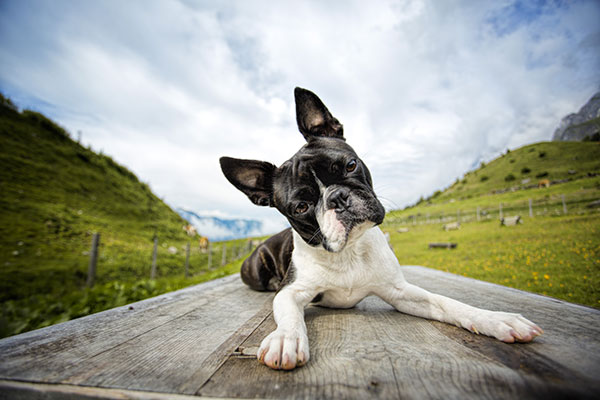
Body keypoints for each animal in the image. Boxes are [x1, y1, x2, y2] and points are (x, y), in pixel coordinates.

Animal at [220, 87, 544, 372]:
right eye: (301, 207)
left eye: (350, 165)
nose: (338, 198)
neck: (349, 251)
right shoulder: (292, 291)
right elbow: (288, 312)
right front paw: (285, 338)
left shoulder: (400, 291)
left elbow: (446, 302)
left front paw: (494, 319)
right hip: (256, 268)